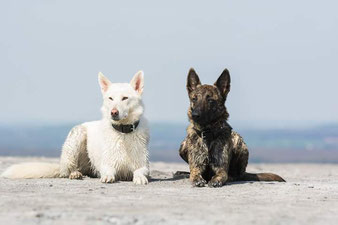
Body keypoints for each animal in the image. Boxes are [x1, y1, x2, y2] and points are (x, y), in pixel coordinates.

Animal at [1, 71, 149, 185]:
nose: (113, 112)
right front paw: (107, 177)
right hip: (77, 135)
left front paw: (140, 178)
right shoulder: (107, 164)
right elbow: (108, 171)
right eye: (110, 98)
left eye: (125, 98)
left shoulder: (143, 165)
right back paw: (75, 173)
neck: (123, 133)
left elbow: (140, 171)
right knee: (68, 169)